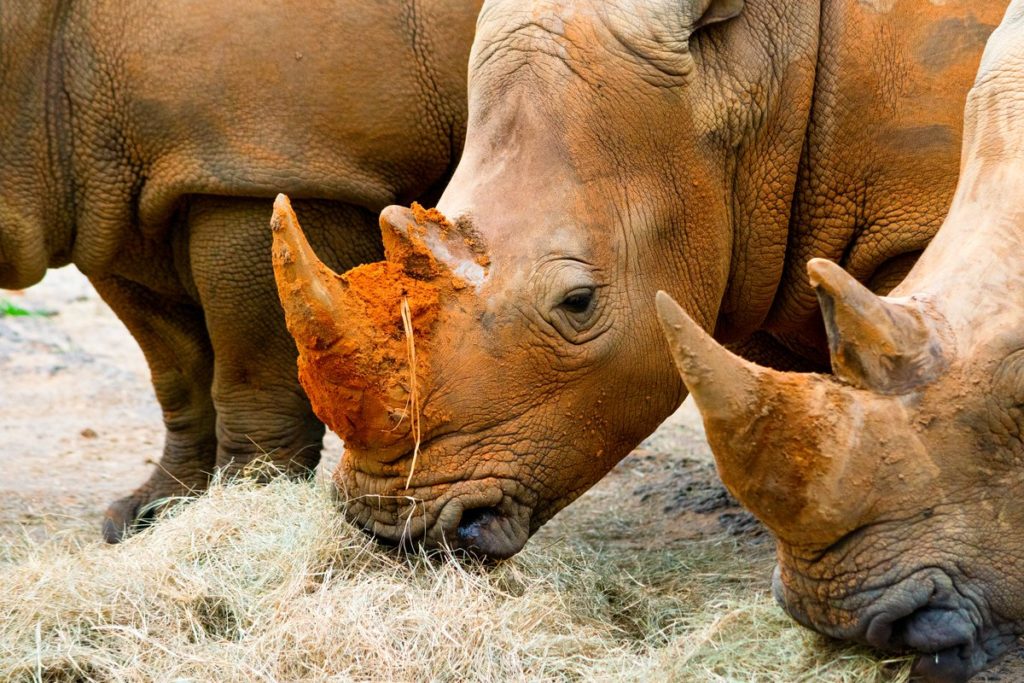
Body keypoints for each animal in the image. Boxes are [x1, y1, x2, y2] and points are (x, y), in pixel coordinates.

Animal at [0, 2, 479, 540]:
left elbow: (252, 374)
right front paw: (149, 517)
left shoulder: (274, 175)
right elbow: (179, 372)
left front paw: (245, 501)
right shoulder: (115, 203)